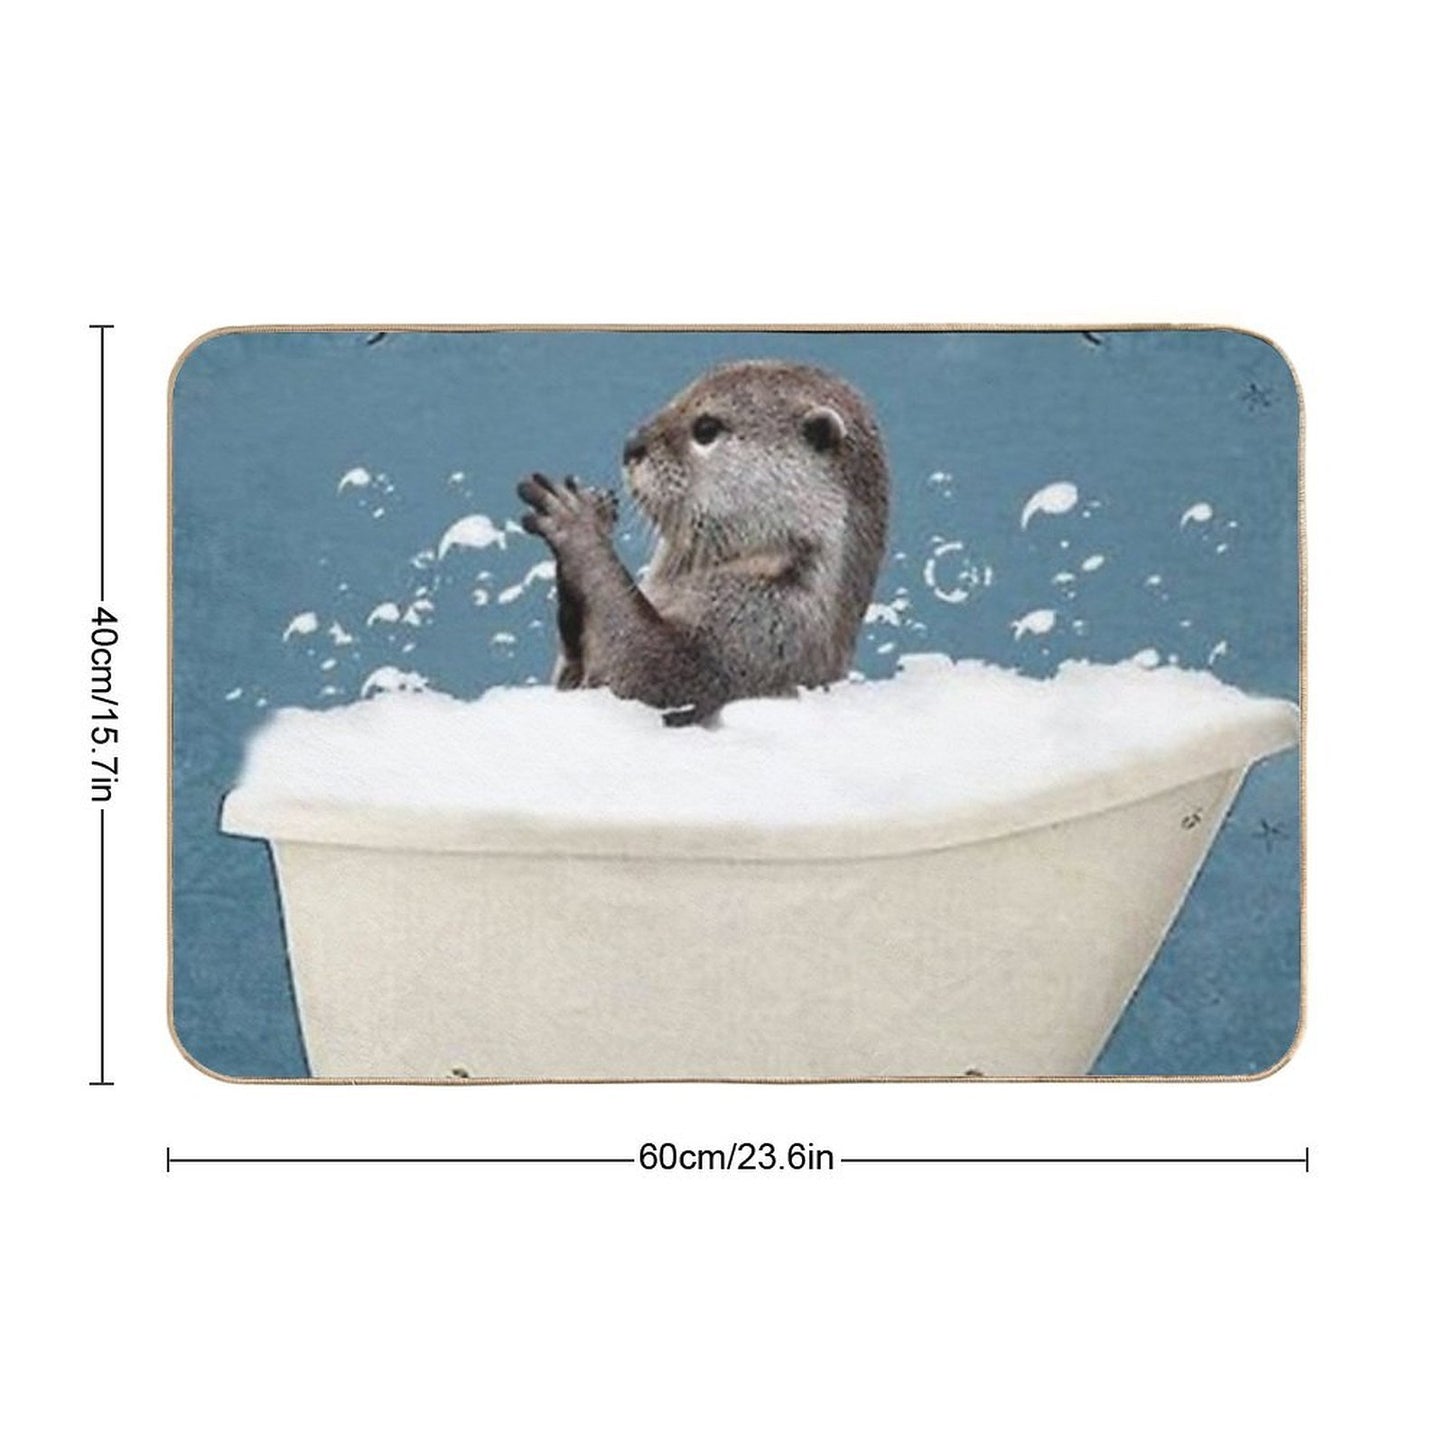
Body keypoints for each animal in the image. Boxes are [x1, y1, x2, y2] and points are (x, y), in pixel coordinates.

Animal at [517, 360, 889, 724]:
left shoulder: (764, 631)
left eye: (706, 428)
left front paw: (577, 521)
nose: (631, 445)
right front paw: (599, 506)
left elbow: (651, 679)